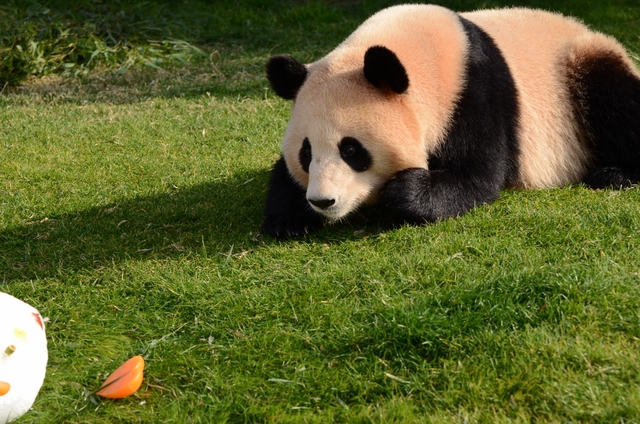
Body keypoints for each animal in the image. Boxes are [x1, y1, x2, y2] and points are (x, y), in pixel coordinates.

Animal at [260, 3, 640, 237]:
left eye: (351, 150)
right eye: (307, 152)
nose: (322, 201)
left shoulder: (475, 94)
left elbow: (476, 176)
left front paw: (404, 191)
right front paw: (288, 218)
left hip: (578, 70)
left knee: (614, 102)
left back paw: (613, 174)